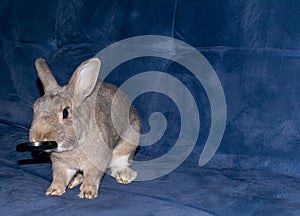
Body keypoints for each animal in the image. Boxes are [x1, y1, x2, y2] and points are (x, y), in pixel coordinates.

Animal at [29, 57, 141, 199]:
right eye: (35, 109)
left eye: (65, 113)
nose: (38, 137)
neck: (73, 147)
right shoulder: (61, 166)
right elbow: (60, 178)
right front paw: (53, 190)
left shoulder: (96, 162)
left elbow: (92, 177)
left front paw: (88, 193)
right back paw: (74, 180)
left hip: (127, 146)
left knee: (121, 162)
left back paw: (124, 175)